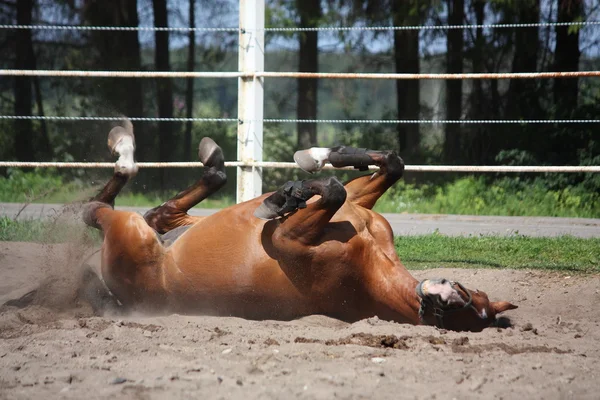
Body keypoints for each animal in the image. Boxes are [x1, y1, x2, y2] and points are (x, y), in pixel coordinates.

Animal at [82, 122, 516, 332]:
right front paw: (315, 160)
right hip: (172, 223)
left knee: (97, 209)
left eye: (459, 309)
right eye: (467, 294)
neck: (370, 266)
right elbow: (388, 165)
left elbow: (333, 191)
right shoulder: (360, 206)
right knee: (174, 204)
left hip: (131, 234)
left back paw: (124, 152)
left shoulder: (287, 238)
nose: (443, 294)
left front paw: (286, 195)